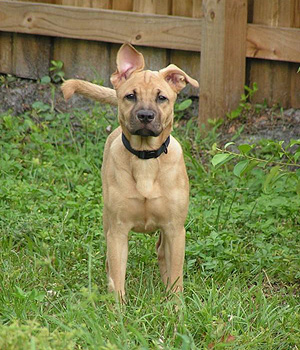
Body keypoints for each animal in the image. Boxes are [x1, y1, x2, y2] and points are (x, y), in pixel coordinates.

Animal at [61, 43, 199, 300]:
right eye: (130, 96)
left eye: (162, 97)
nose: (145, 116)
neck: (145, 159)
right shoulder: (118, 231)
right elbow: (117, 279)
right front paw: (117, 310)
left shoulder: (175, 229)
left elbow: (177, 277)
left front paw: (176, 307)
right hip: (107, 221)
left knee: (162, 252)